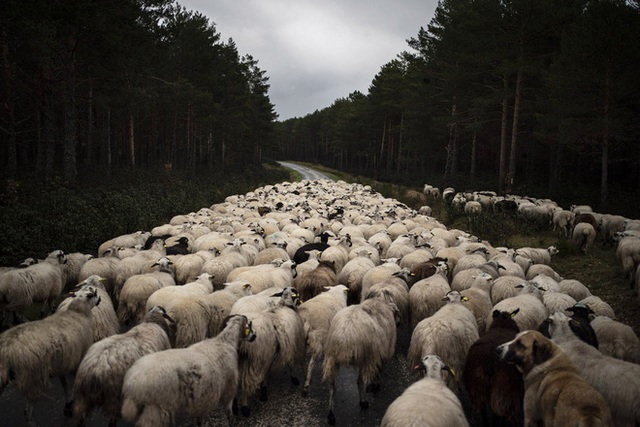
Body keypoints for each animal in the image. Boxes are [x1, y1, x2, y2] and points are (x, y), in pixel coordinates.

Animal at [0, 286, 100, 426]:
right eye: (94, 292)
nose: (100, 299)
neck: (78, 313)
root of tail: (6, 350)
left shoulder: (62, 363)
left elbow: (65, 385)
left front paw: (68, 405)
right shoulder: (77, 359)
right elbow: (75, 385)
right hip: (33, 376)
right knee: (29, 415)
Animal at [121, 312, 256, 426]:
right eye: (249, 325)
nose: (255, 336)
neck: (225, 342)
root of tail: (131, 385)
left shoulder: (204, 399)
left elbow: (201, 419)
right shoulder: (229, 388)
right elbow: (229, 413)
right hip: (154, 412)